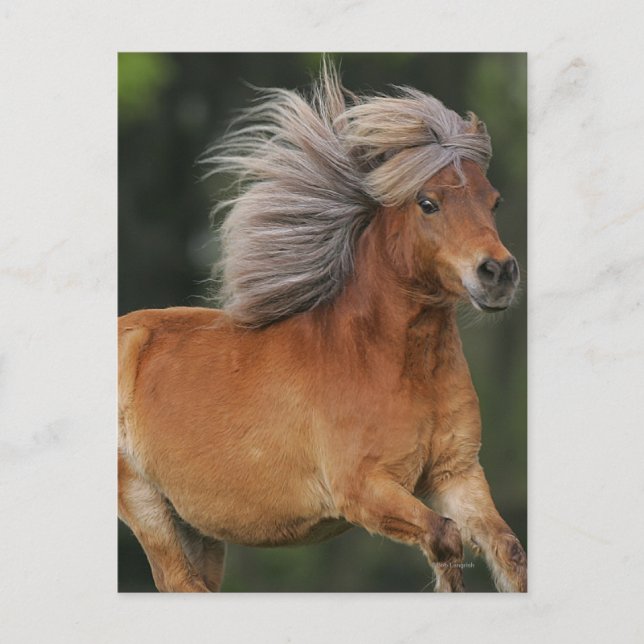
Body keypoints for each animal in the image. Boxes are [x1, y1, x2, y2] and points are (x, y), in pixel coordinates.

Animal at [118, 59, 527, 592]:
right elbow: (446, 540)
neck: (395, 367)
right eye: (427, 202)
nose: (498, 273)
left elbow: (509, 552)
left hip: (197, 528)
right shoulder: (364, 491)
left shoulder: (456, 474)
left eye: (494, 201)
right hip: (146, 507)